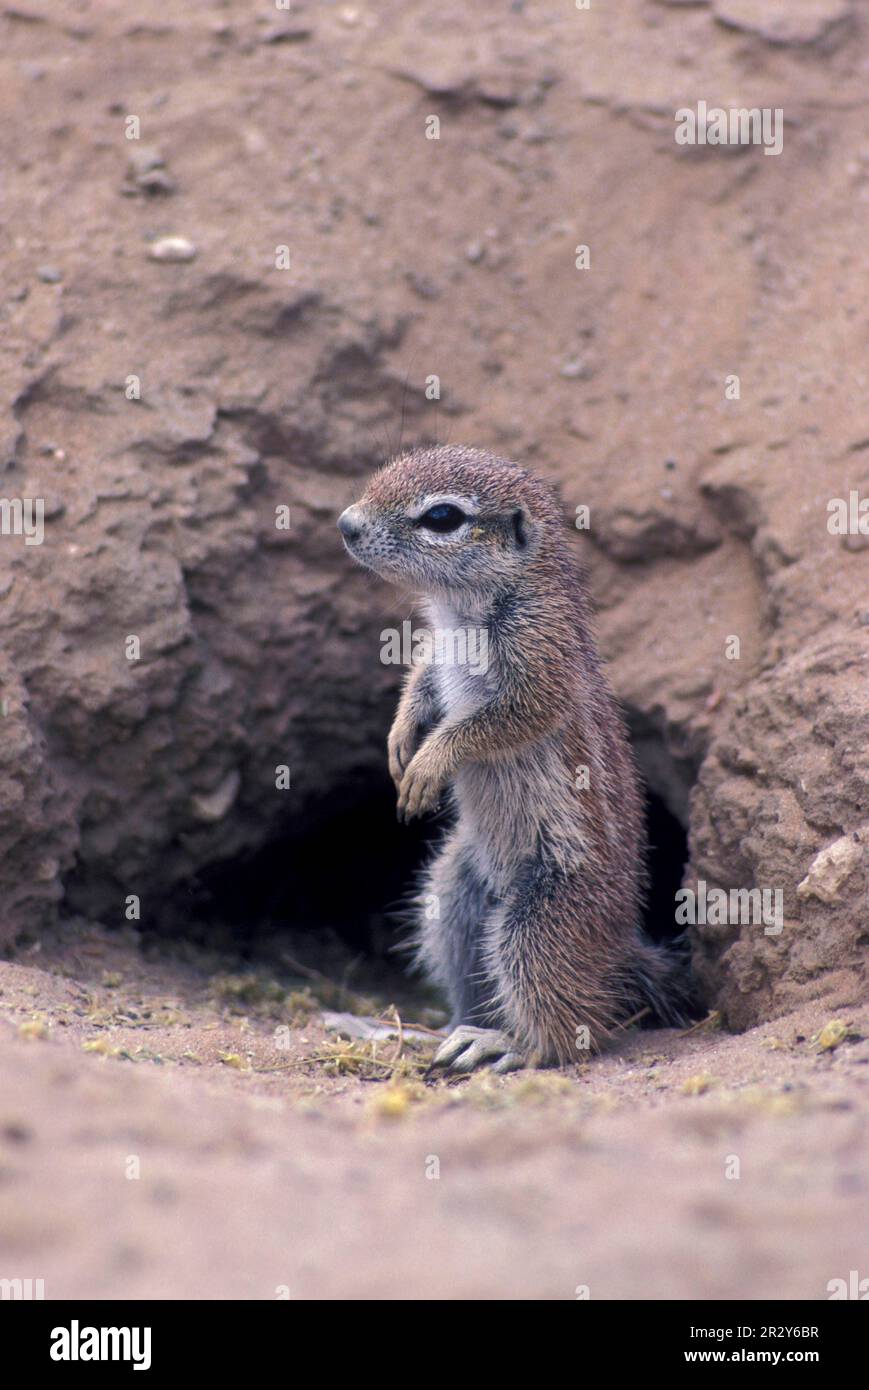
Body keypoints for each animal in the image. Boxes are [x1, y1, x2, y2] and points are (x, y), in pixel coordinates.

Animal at [335, 444, 686, 1073]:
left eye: (442, 517)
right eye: (388, 469)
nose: (346, 524)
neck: (462, 609)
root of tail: (622, 945)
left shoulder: (538, 662)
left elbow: (497, 723)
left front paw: (430, 761)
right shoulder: (438, 649)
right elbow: (423, 676)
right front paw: (401, 735)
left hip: (539, 920)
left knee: (572, 1023)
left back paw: (506, 1043)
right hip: (453, 892)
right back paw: (444, 1028)